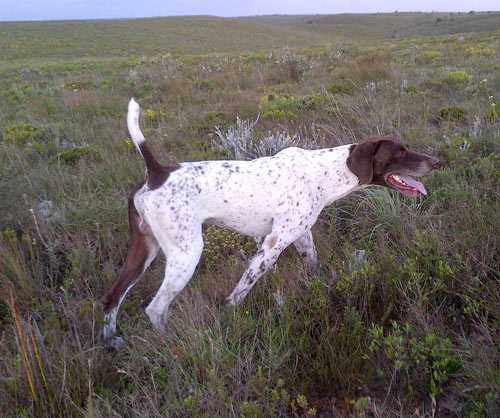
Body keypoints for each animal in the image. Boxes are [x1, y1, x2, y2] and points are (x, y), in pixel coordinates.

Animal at [102, 99, 442, 342]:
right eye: (400, 152)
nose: (437, 161)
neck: (324, 174)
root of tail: (157, 172)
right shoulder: (271, 245)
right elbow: (239, 292)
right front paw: (229, 319)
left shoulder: (301, 236)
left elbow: (313, 265)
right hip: (186, 255)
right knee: (155, 308)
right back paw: (171, 343)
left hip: (143, 252)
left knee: (111, 299)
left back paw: (111, 343)